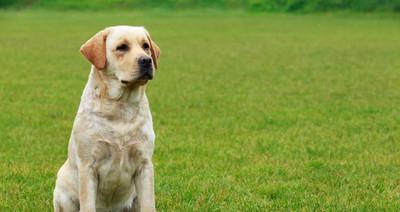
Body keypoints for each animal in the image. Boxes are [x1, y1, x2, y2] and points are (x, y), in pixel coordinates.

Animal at [52, 25, 160, 212]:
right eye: (122, 47)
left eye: (145, 46)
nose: (147, 60)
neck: (121, 108)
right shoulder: (88, 166)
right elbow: (88, 206)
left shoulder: (144, 165)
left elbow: (149, 205)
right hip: (64, 195)